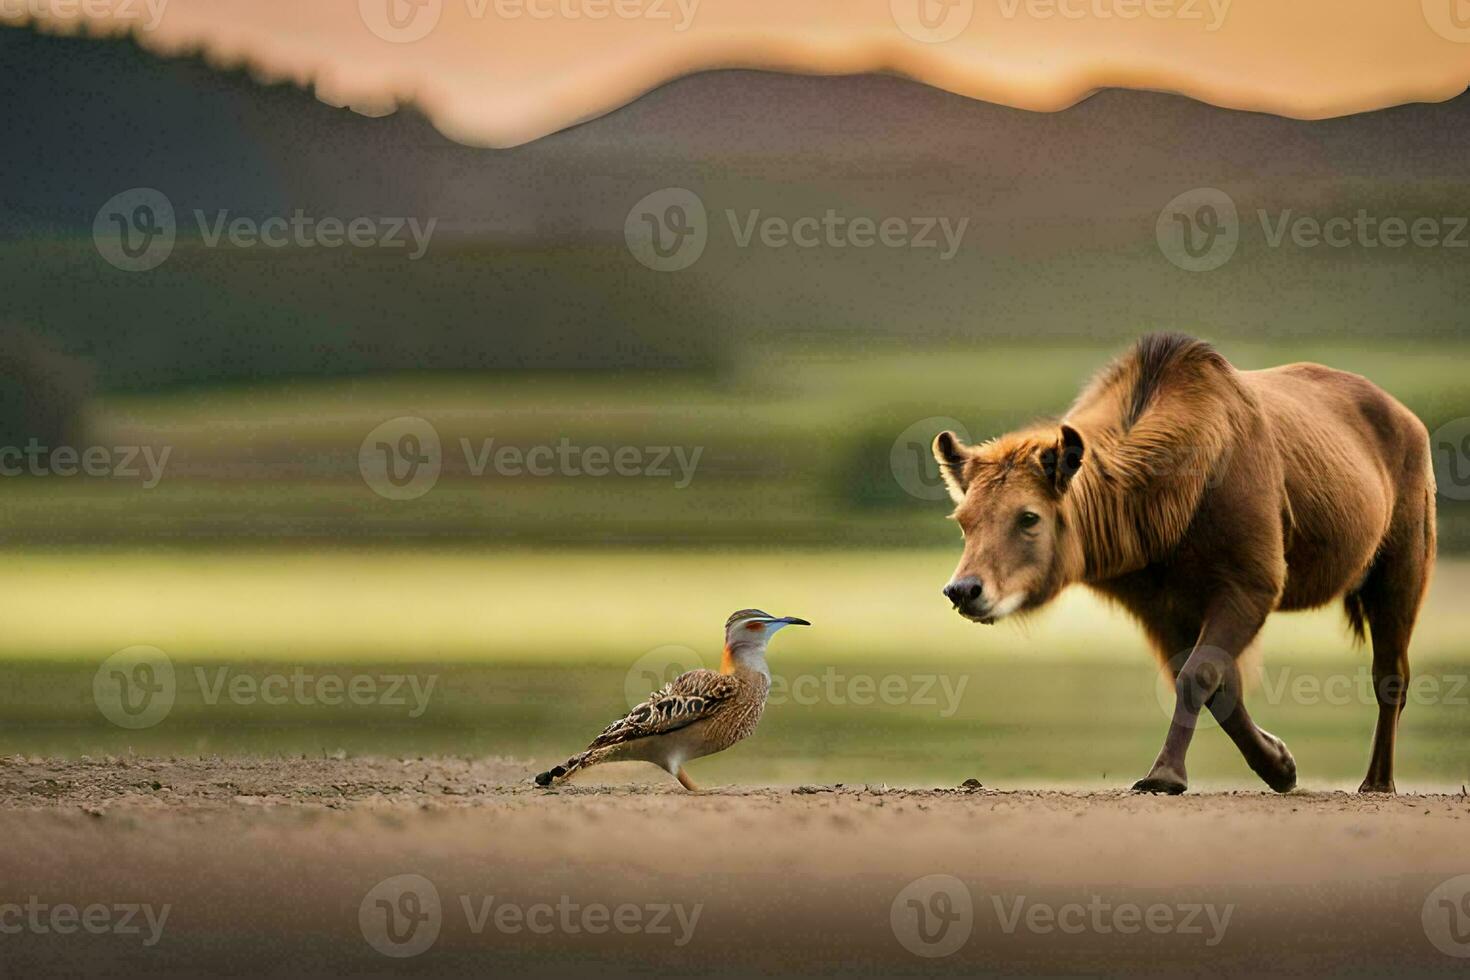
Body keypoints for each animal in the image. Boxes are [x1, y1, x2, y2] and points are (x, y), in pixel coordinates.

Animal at [934, 333, 1428, 793]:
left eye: (1029, 516)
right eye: (963, 519)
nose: (964, 589)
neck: (1166, 508)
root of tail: (1410, 419)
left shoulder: (1255, 581)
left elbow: (1198, 675)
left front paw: (1165, 774)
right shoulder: (1160, 605)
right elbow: (1216, 685)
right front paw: (1279, 763)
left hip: (1400, 565)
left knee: (1391, 676)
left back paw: (1378, 780)